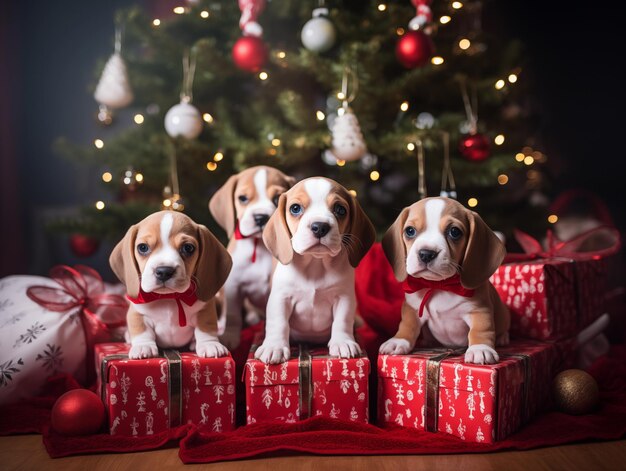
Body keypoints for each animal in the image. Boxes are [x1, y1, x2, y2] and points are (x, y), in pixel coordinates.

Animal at [109, 210, 232, 358]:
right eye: (143, 247)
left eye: (188, 248)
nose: (164, 271)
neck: (169, 298)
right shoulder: (137, 312)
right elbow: (140, 329)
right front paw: (143, 346)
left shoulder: (205, 309)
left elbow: (206, 328)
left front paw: (210, 344)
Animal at [208, 166, 294, 350]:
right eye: (243, 198)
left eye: (277, 198)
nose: (260, 217)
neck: (258, 244)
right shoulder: (233, 286)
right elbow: (232, 315)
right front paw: (230, 337)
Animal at [255, 177, 376, 366]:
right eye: (295, 208)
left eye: (340, 209)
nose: (319, 226)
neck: (315, 264)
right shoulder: (281, 298)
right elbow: (278, 322)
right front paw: (274, 346)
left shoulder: (344, 297)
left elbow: (342, 320)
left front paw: (343, 342)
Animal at [380, 196, 508, 366]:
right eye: (410, 231)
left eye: (454, 232)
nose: (426, 253)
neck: (438, 286)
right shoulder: (412, 308)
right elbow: (407, 325)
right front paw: (398, 340)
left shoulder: (479, 310)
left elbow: (480, 329)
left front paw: (480, 348)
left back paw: (502, 338)